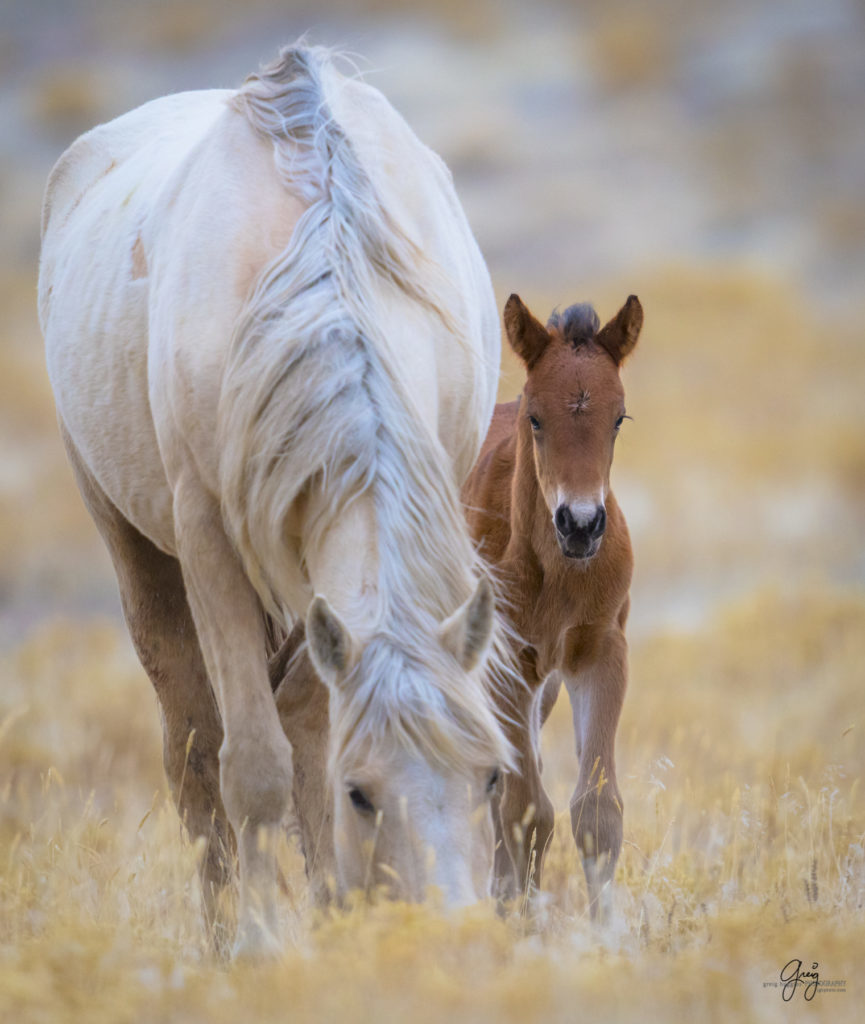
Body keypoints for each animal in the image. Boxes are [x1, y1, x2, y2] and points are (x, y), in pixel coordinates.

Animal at [37, 44, 513, 954]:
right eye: (362, 793)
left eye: (491, 778)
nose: (449, 931)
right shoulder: (210, 538)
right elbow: (255, 764)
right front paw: (258, 948)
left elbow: (309, 731)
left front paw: (334, 913)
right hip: (132, 542)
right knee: (192, 745)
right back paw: (222, 932)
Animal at [464, 290, 642, 921]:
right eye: (535, 418)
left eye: (619, 418)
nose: (581, 525)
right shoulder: (508, 661)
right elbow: (525, 809)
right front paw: (522, 925)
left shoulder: (601, 652)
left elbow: (597, 811)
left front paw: (606, 931)